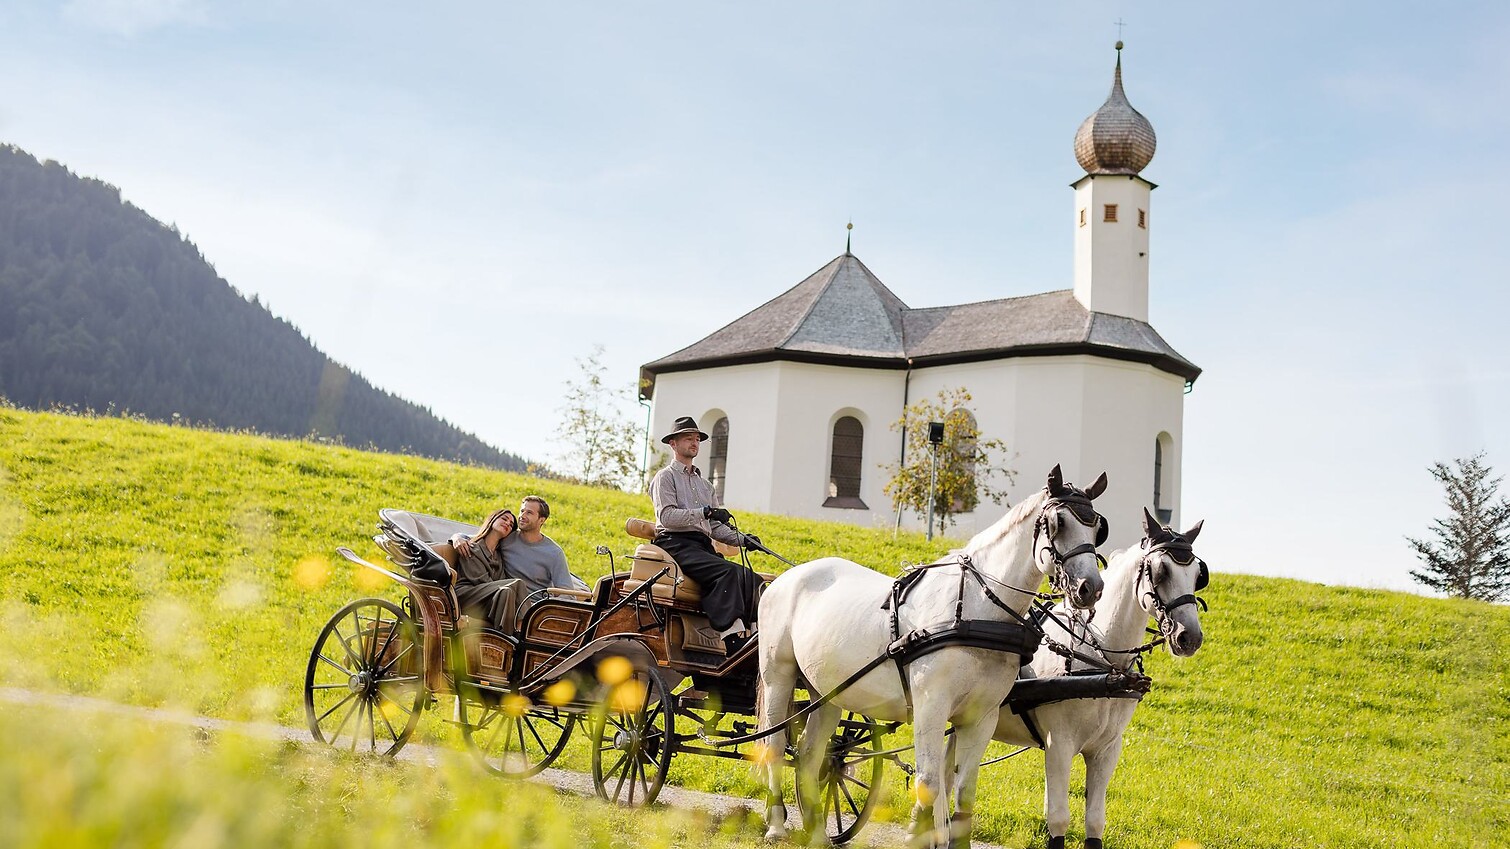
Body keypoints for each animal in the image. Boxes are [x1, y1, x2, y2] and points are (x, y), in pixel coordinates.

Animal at [757, 465, 1110, 848]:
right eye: (1058, 522)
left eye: (1097, 528)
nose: (1090, 588)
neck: (975, 610)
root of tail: (786, 577)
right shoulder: (931, 706)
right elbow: (928, 781)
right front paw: (916, 834)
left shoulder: (980, 717)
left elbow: (965, 792)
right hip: (779, 676)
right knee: (774, 744)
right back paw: (776, 825)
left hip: (827, 692)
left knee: (809, 755)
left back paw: (817, 831)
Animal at [989, 508, 1209, 849]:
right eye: (1160, 570)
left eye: (1198, 574)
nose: (1190, 638)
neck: (1103, 666)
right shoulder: (1059, 744)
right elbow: (1059, 818)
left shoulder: (1107, 750)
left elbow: (1095, 821)